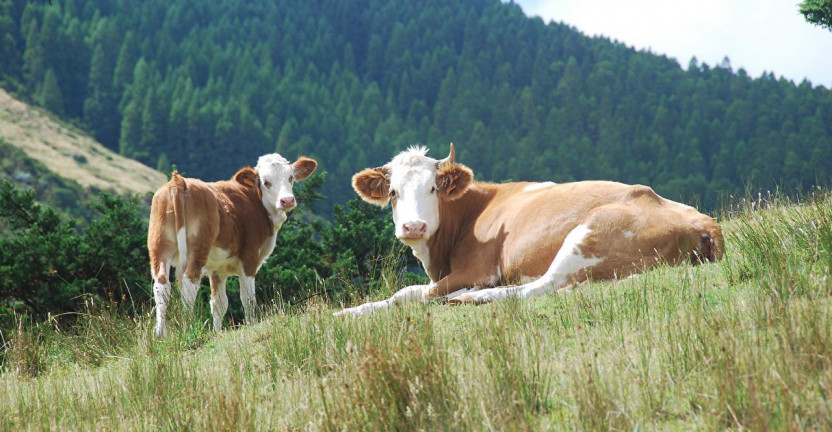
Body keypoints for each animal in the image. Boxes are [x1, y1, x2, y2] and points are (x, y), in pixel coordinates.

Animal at [148, 154, 316, 336]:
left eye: (290, 178)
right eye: (266, 182)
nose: (287, 200)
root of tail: (179, 182)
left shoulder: (218, 269)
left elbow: (218, 304)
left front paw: (217, 334)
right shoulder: (249, 258)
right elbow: (248, 298)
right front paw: (251, 325)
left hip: (159, 246)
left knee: (162, 286)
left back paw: (160, 334)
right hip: (198, 248)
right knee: (189, 284)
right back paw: (188, 327)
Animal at [334, 143, 720, 316]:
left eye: (432, 189)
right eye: (393, 193)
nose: (414, 226)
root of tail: (704, 222)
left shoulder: (478, 269)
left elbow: (410, 294)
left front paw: (348, 312)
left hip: (589, 232)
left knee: (542, 286)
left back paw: (469, 298)